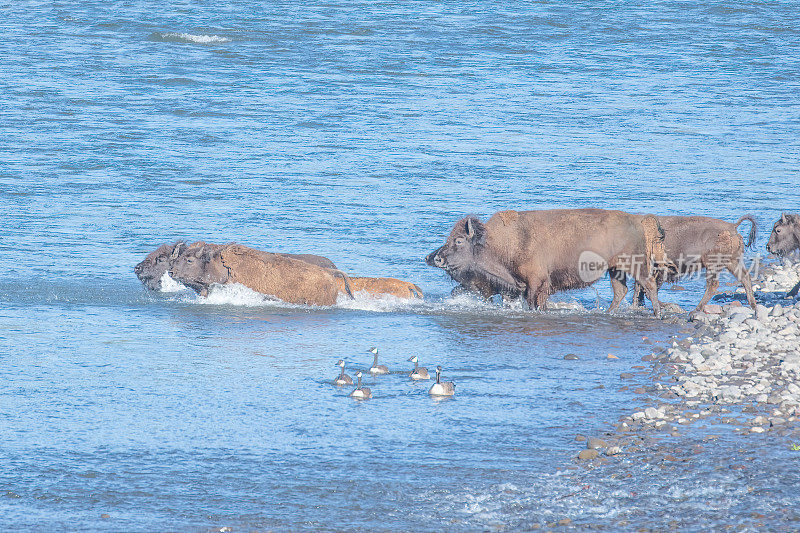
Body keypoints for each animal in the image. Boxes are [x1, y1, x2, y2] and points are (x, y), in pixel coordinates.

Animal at [424, 208, 668, 316]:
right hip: (615, 269)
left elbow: (534, 303)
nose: (435, 257)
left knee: (648, 285)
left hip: (634, 265)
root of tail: (638, 220)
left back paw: (657, 314)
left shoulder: (535, 283)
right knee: (621, 291)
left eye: (458, 240)